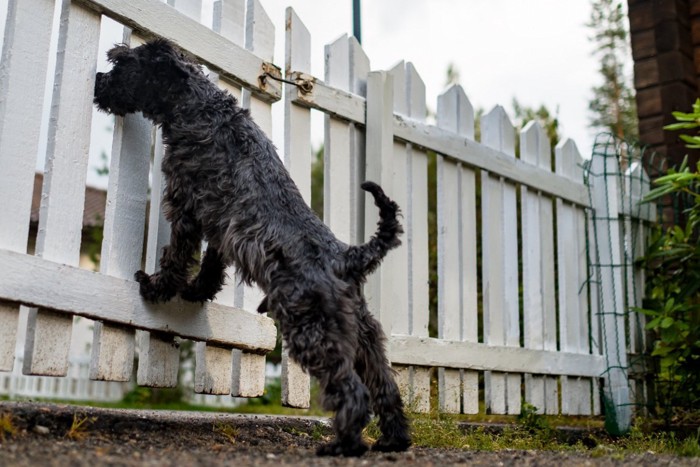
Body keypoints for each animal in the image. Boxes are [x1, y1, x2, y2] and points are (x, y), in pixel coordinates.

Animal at [93, 40, 410, 458]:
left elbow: (177, 255)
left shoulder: (184, 206)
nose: (98, 80)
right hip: (366, 337)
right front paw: (196, 292)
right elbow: (211, 266)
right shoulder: (219, 226)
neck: (198, 104)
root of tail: (347, 257)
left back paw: (341, 445)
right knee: (385, 388)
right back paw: (394, 440)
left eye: (122, 62)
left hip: (313, 331)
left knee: (352, 391)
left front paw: (157, 286)